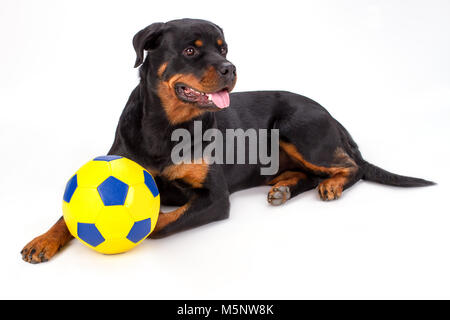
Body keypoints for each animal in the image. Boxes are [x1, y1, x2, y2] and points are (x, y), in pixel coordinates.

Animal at [20, 18, 432, 262]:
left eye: (224, 49)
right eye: (190, 50)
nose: (230, 68)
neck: (166, 126)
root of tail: (332, 116)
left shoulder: (214, 198)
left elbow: (159, 224)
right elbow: (64, 215)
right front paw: (43, 240)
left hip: (298, 128)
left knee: (352, 166)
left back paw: (330, 185)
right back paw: (284, 186)